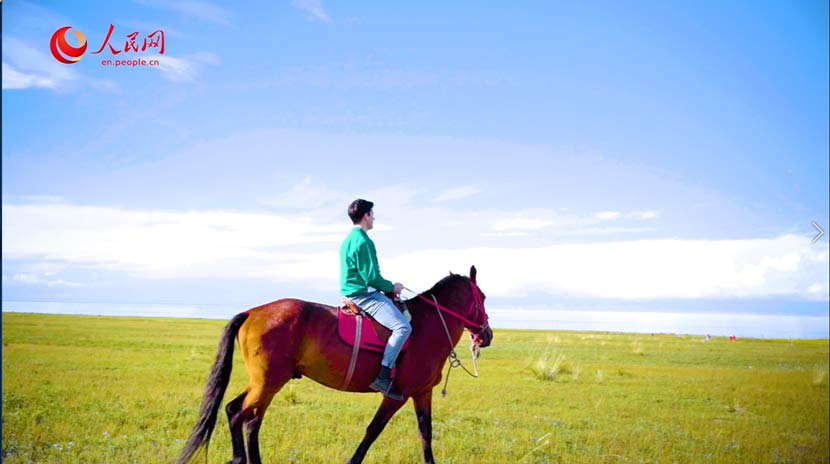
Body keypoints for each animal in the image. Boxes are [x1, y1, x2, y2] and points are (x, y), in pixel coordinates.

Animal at [172, 266, 490, 464]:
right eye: (484, 297)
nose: (486, 335)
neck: (428, 325)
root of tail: (252, 312)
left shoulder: (422, 393)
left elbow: (425, 433)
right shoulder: (395, 395)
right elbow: (373, 430)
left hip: (267, 383)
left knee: (247, 417)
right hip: (268, 382)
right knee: (239, 414)